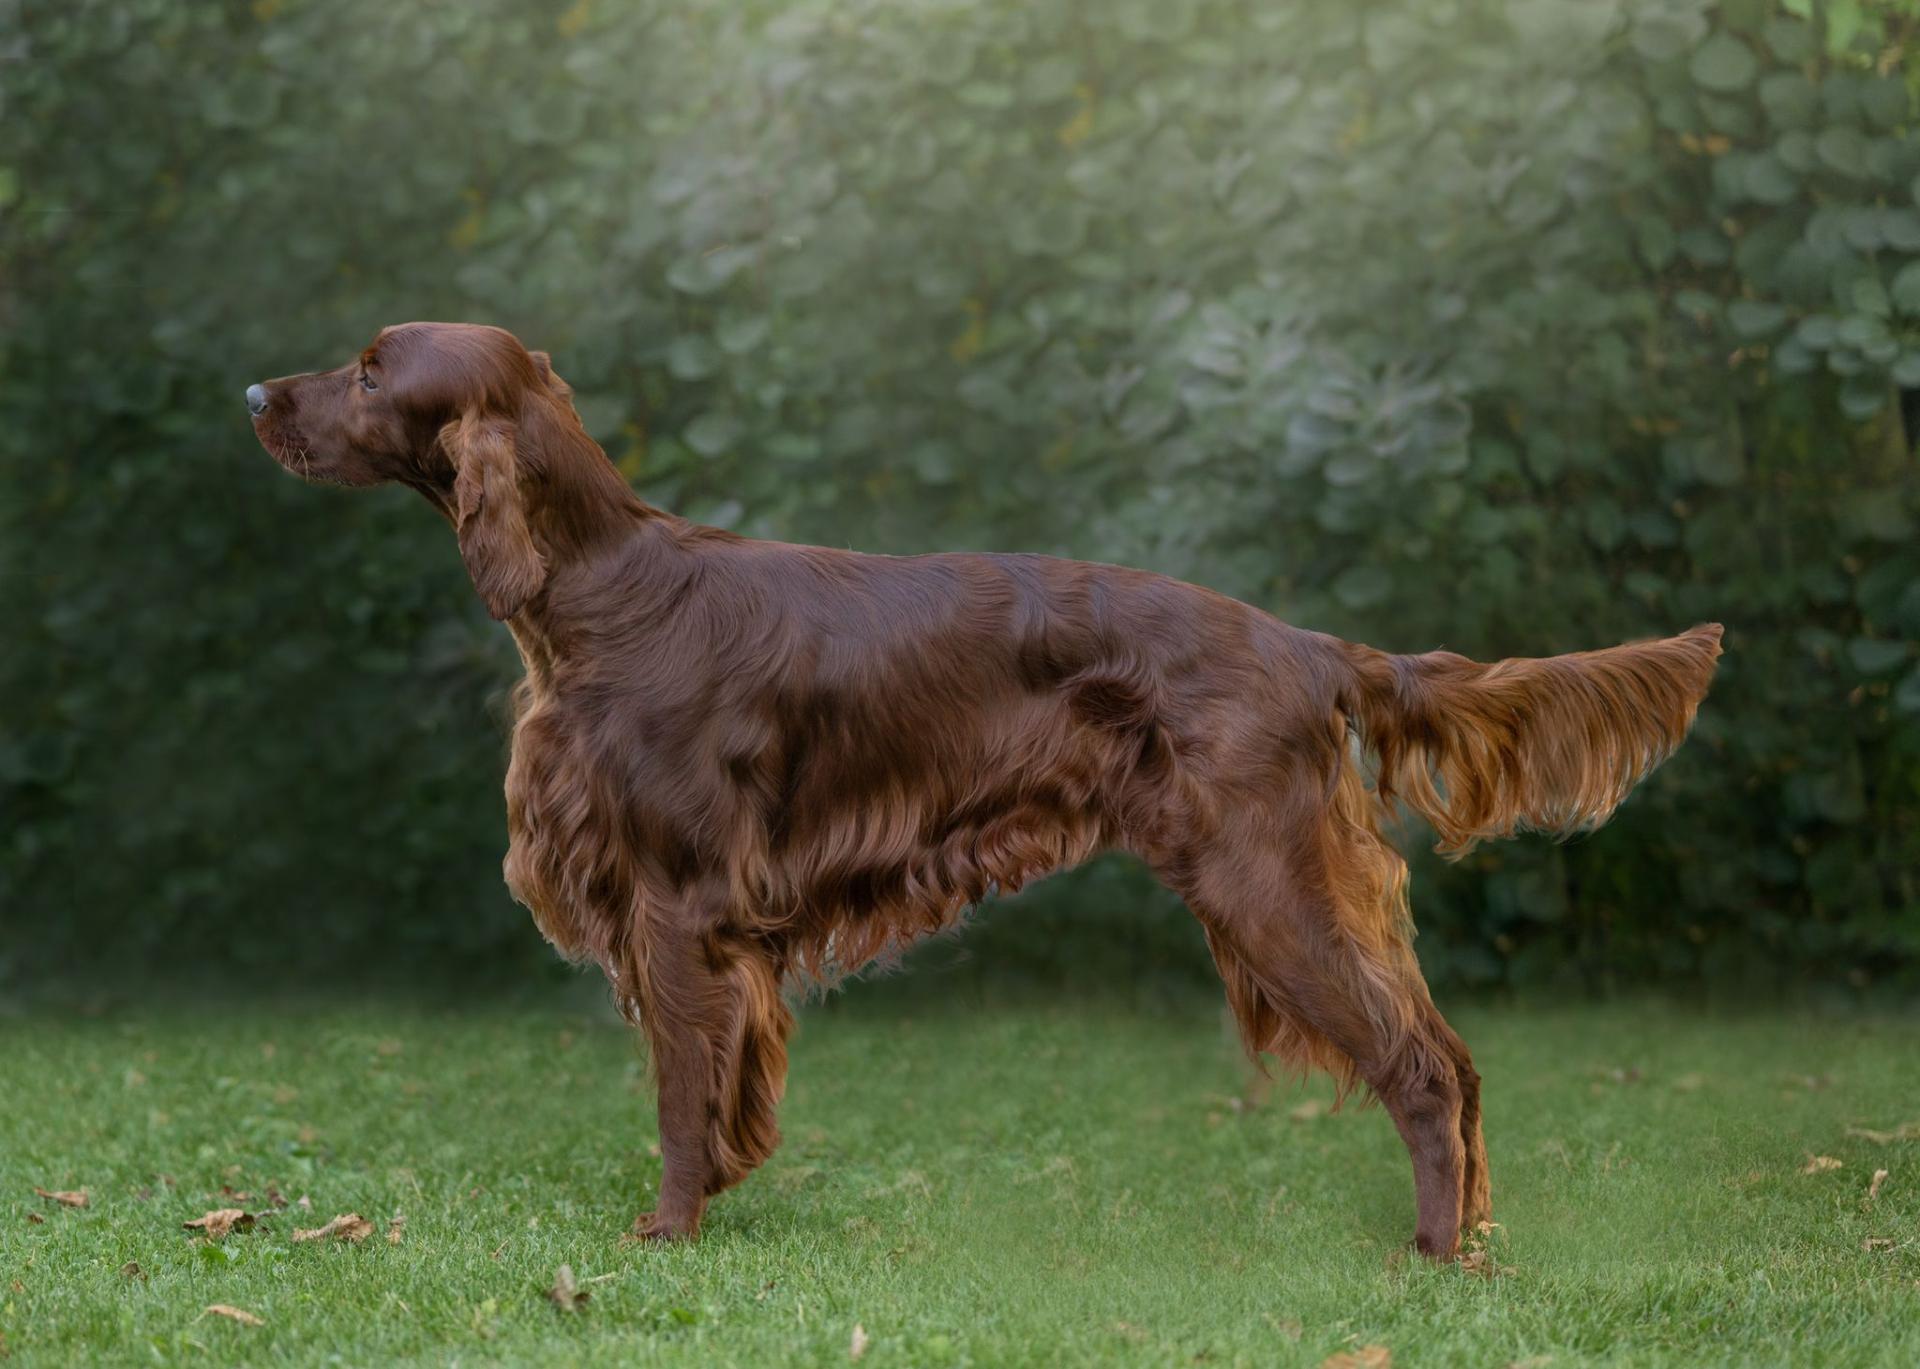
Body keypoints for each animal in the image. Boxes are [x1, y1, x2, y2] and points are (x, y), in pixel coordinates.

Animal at [247, 322, 1735, 1259]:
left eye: (372, 370)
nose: (255, 394)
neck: (600, 592)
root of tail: (1314, 647)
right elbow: (720, 1090)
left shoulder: (675, 903)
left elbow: (676, 1087)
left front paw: (666, 1233)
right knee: (1460, 1059)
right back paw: (1473, 1234)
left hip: (1271, 883)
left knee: (1423, 1068)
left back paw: (1429, 1257)